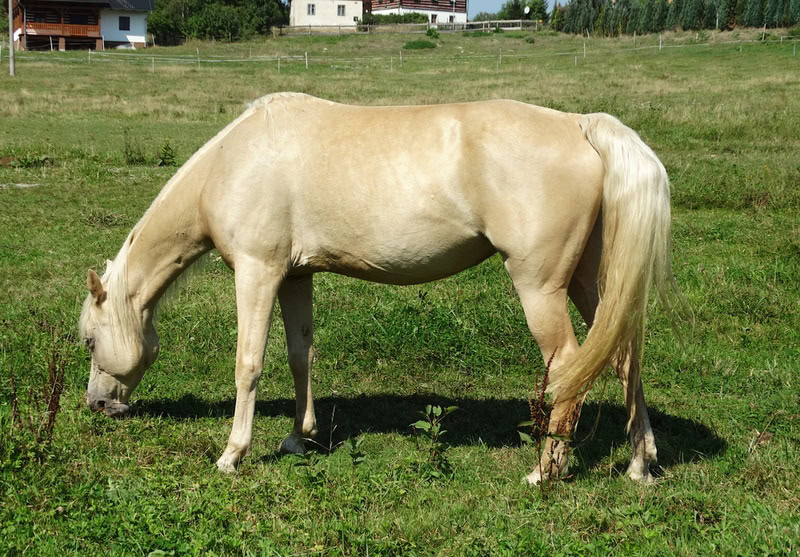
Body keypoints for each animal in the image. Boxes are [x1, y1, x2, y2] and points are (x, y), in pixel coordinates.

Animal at [79, 92, 675, 484]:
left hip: (542, 287)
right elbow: (300, 355)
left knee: (571, 364)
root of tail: (580, 125)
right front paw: (299, 437)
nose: (98, 405)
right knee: (623, 358)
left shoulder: (257, 272)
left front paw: (233, 454)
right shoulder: (296, 276)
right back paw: (639, 464)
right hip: (589, 283)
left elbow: (249, 362)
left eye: (88, 340)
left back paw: (546, 471)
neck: (233, 163)